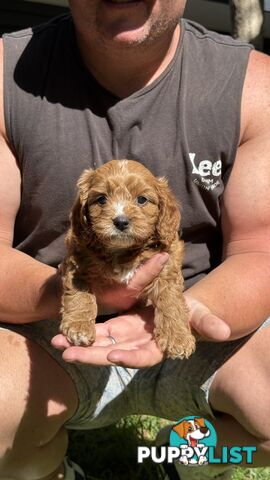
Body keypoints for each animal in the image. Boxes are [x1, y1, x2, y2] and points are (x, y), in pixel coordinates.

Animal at [60, 159, 196, 358]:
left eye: (142, 199)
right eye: (101, 199)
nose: (121, 221)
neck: (121, 251)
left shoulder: (167, 265)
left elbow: (171, 302)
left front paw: (177, 338)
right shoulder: (77, 262)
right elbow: (80, 293)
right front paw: (79, 326)